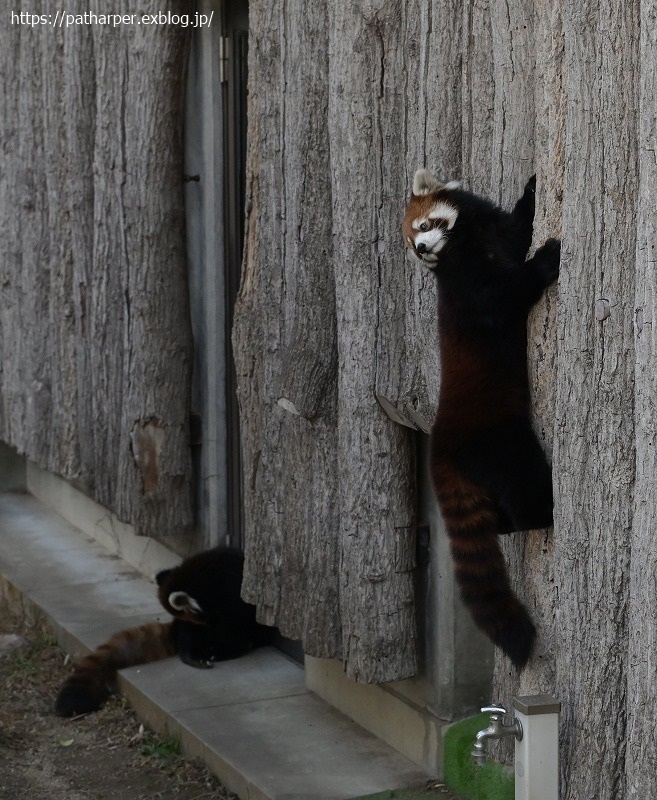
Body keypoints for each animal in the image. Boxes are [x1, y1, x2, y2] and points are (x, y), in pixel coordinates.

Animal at [53, 548, 274, 716]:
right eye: (198, 618)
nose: (207, 625)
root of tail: (174, 631)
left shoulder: (230, 594)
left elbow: (236, 624)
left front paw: (225, 647)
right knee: (190, 639)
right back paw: (195, 656)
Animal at [400, 170, 560, 668]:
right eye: (414, 244)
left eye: (425, 225)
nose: (422, 249)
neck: (469, 244)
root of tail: (440, 443)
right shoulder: (473, 288)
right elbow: (510, 293)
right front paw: (548, 258)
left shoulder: (499, 232)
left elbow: (520, 224)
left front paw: (532, 189)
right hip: (498, 443)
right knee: (525, 480)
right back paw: (545, 512)